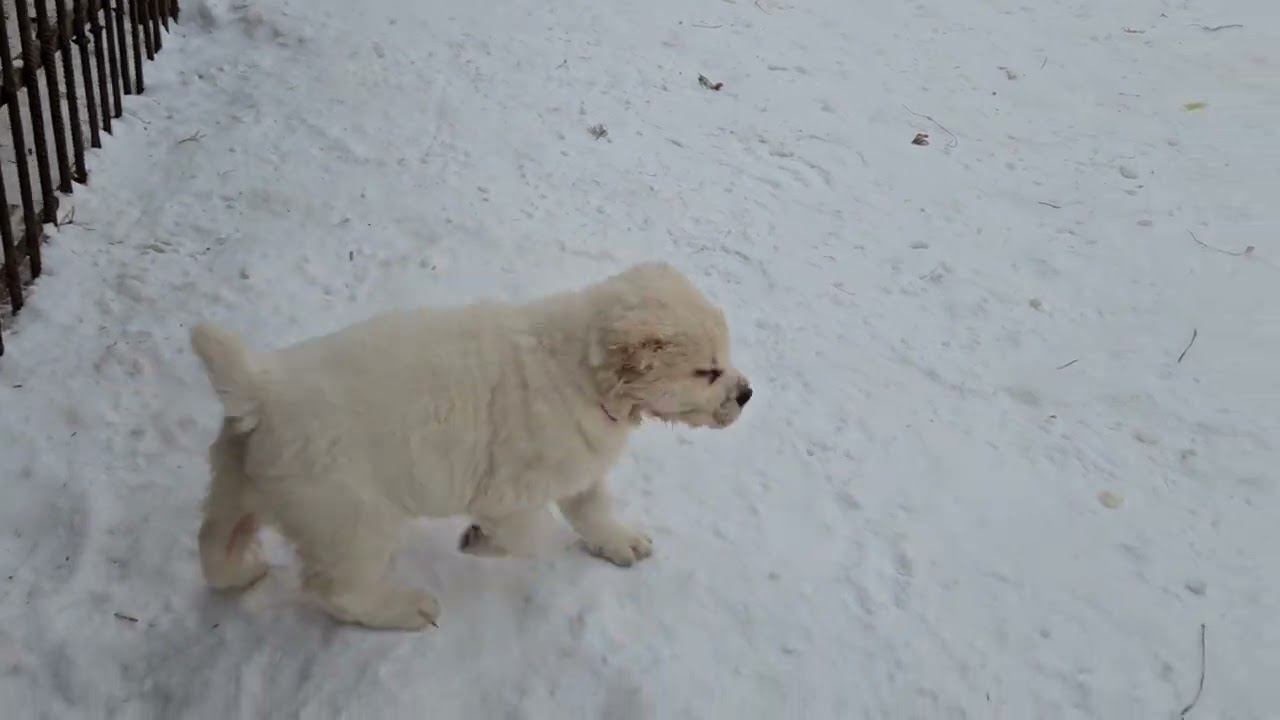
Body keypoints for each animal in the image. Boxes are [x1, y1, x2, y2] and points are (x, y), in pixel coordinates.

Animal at [190, 262, 747, 627]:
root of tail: (260, 388)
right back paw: (406, 609)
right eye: (707, 371)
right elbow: (531, 534)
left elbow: (592, 508)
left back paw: (241, 572)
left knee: (213, 542)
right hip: (351, 518)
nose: (747, 393)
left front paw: (619, 540)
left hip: (238, 481)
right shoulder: (511, 489)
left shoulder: (578, 464)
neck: (584, 373)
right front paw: (478, 540)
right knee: (335, 588)